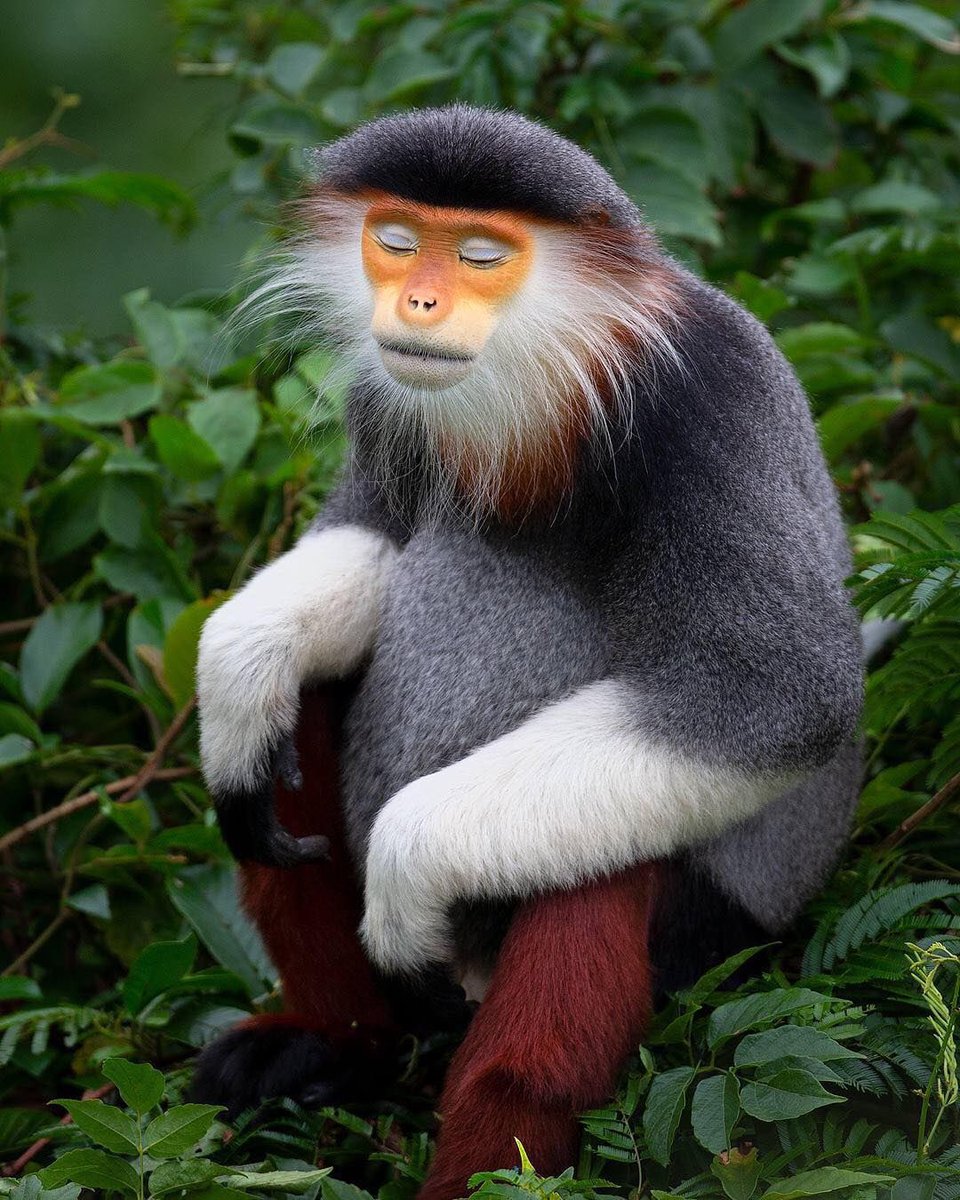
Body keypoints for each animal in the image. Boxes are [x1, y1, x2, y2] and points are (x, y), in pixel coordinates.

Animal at [192, 105, 865, 1198]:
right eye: (397, 240)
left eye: (480, 255)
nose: (420, 301)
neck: (547, 389)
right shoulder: (387, 399)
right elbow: (372, 536)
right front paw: (241, 672)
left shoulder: (706, 399)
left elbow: (780, 695)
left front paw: (408, 871)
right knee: (305, 723)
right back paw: (337, 1045)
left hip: (705, 933)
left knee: (584, 884)